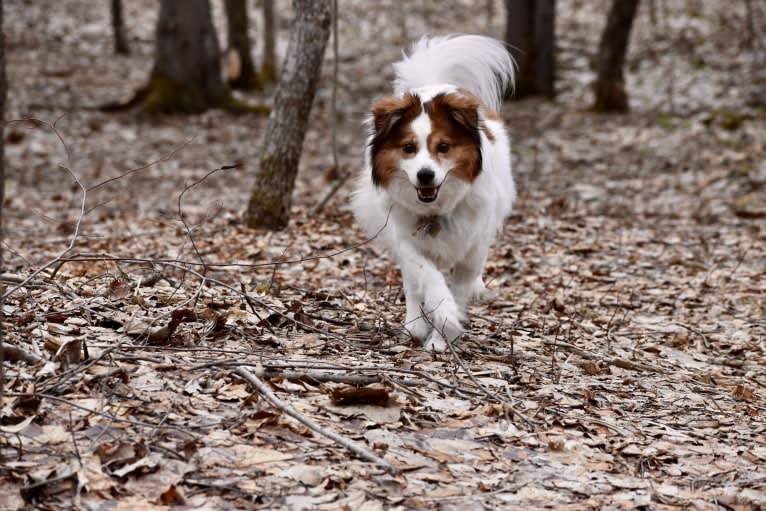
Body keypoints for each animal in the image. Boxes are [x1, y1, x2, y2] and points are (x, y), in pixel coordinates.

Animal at [352, 33, 516, 352]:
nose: (425, 175)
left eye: (444, 147)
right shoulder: (406, 238)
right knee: (412, 284)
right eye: (408, 147)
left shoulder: (472, 248)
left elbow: (460, 287)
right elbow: (426, 277)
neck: (436, 211)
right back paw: (415, 324)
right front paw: (442, 316)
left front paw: (443, 336)